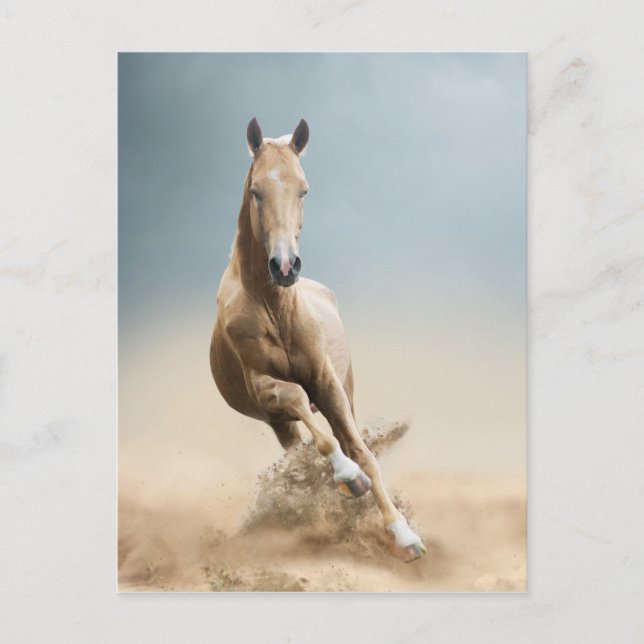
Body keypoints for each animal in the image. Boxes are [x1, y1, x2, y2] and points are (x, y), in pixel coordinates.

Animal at [209, 118, 426, 562]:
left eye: (303, 189)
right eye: (257, 190)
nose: (284, 266)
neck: (274, 305)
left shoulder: (327, 383)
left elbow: (363, 451)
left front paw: (405, 535)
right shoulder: (262, 386)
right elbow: (298, 402)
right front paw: (348, 477)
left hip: (343, 391)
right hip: (278, 422)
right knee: (300, 437)